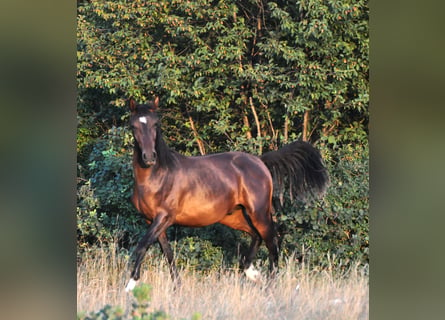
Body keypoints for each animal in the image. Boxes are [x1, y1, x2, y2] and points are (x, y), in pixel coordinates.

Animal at [123, 96, 328, 292]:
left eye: (155, 124)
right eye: (134, 126)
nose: (149, 157)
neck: (159, 176)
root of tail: (259, 161)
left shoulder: (164, 217)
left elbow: (142, 246)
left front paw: (129, 285)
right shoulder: (153, 221)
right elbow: (167, 254)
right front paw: (177, 288)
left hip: (259, 213)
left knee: (272, 243)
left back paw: (270, 286)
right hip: (233, 216)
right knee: (256, 236)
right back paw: (252, 273)